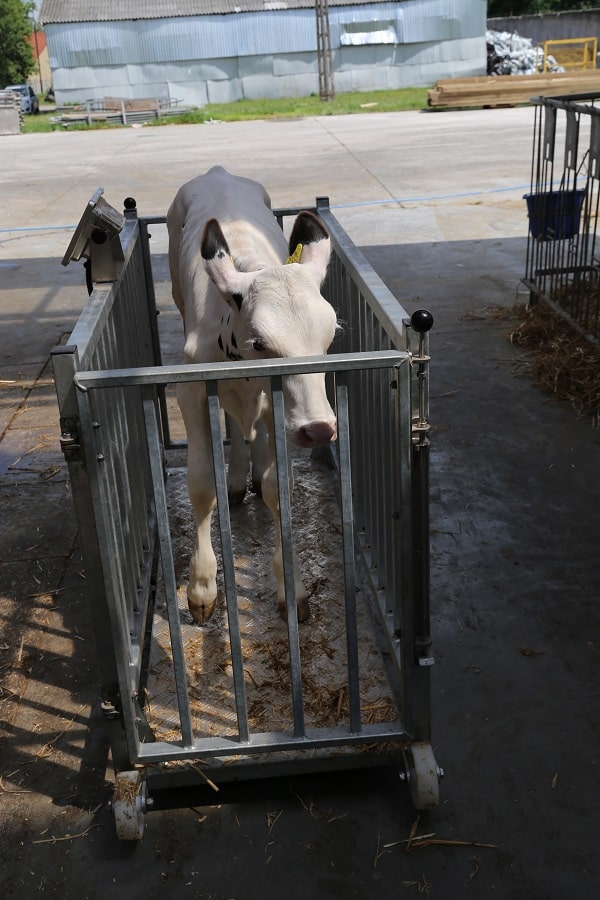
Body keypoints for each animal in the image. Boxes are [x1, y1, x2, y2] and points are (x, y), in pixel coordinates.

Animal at [166, 165, 340, 624]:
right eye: (260, 343)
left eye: (330, 335)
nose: (319, 429)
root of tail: (217, 171)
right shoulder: (191, 392)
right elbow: (200, 483)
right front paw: (202, 588)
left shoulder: (277, 405)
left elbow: (279, 487)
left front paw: (291, 588)